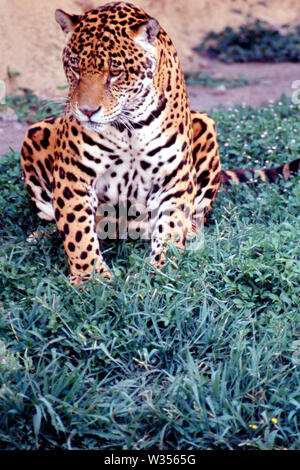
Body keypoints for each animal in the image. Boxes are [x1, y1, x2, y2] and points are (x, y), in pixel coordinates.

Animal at [19, 1, 298, 284]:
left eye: (115, 72)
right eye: (75, 68)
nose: (86, 111)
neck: (128, 127)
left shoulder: (173, 177)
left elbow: (171, 228)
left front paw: (162, 272)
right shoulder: (73, 175)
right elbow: (77, 231)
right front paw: (90, 279)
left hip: (205, 126)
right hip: (36, 132)